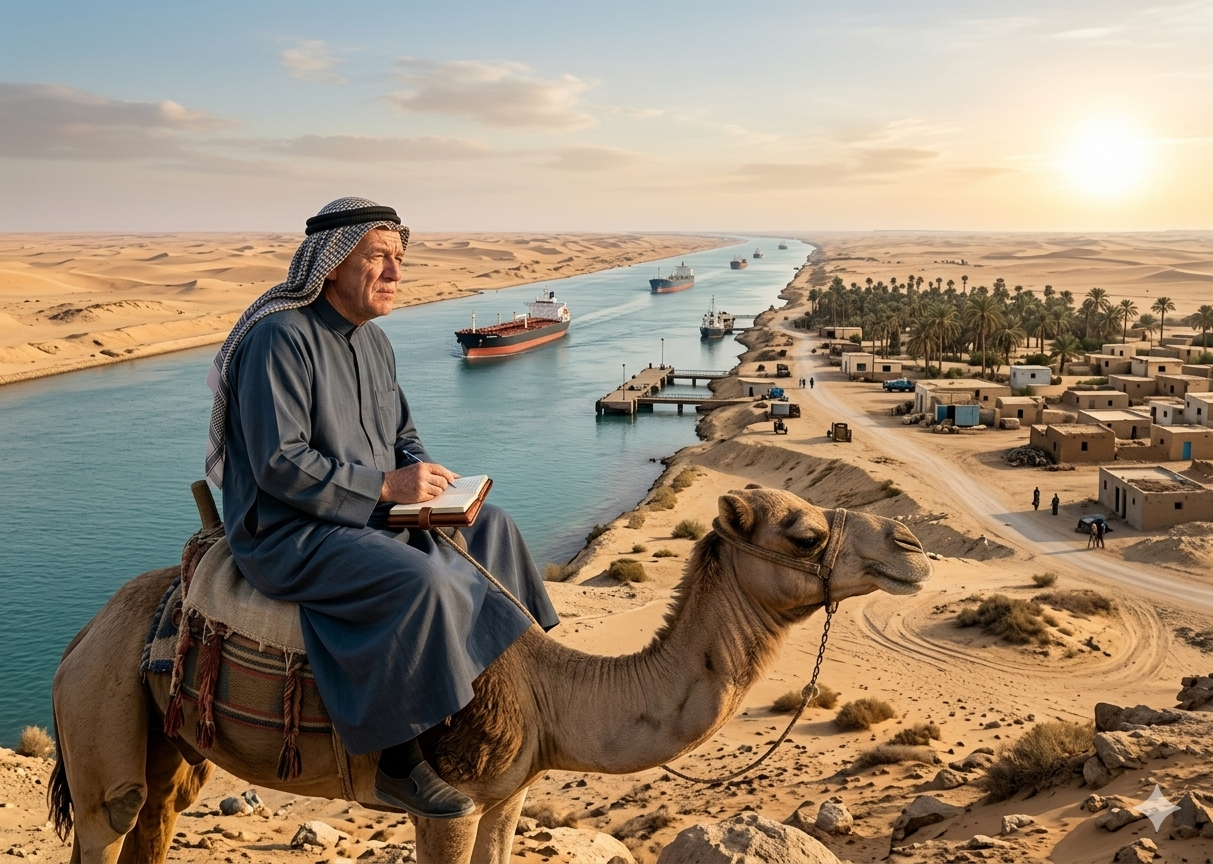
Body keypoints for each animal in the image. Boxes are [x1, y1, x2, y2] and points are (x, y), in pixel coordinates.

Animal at [48, 486, 932, 863]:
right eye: (802, 533)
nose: (913, 546)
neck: (549, 692)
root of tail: (78, 640)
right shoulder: (449, 804)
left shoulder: (508, 796)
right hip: (100, 719)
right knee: (110, 820)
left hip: (171, 741)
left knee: (156, 820)